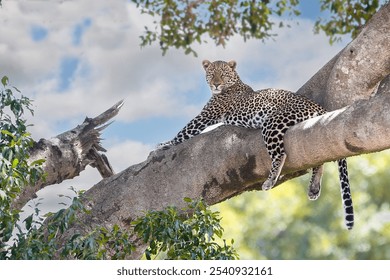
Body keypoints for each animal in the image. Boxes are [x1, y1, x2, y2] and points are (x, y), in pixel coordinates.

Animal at [157, 59, 354, 230]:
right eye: (212, 74)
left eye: (223, 74)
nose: (216, 84)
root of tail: (317, 106)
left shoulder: (205, 116)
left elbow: (184, 131)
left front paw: (164, 144)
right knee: (318, 158)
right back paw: (313, 188)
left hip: (272, 124)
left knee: (280, 154)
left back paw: (269, 181)